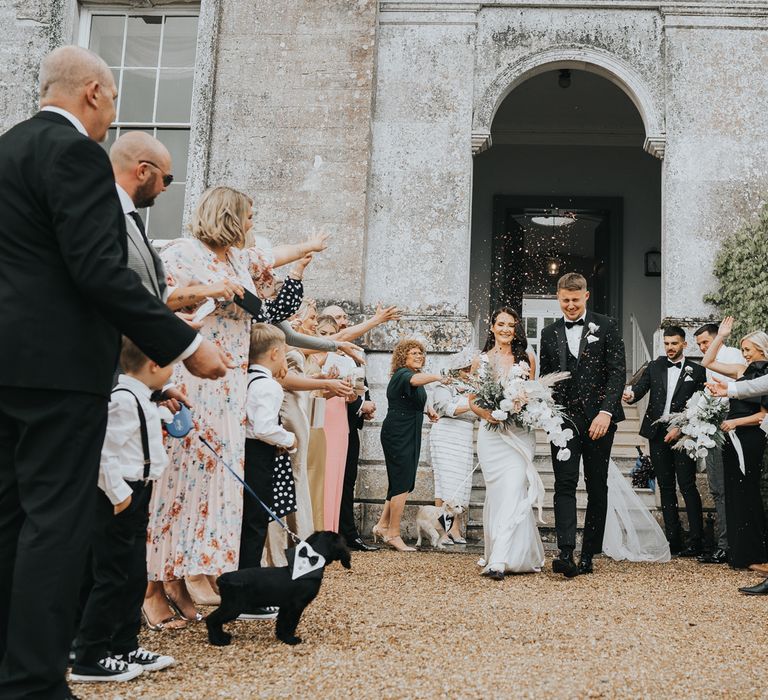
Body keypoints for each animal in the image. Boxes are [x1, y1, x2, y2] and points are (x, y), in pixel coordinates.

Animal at [204, 532, 348, 648]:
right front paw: (291, 639)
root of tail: (223, 578)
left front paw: (282, 637)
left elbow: (281, 623)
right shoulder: (296, 606)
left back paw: (222, 636)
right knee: (211, 619)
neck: (309, 567)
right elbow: (291, 624)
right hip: (234, 607)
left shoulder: (285, 606)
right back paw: (217, 641)